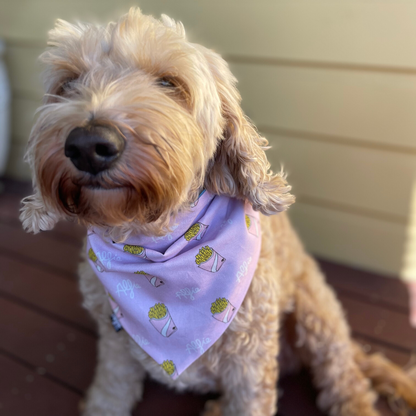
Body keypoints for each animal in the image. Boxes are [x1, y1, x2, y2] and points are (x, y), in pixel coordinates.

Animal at [20, 7, 416, 416]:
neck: (154, 242)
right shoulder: (115, 346)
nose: (87, 146)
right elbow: (110, 393)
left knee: (346, 381)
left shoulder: (251, 362)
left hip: (318, 314)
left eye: (169, 83)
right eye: (68, 83)